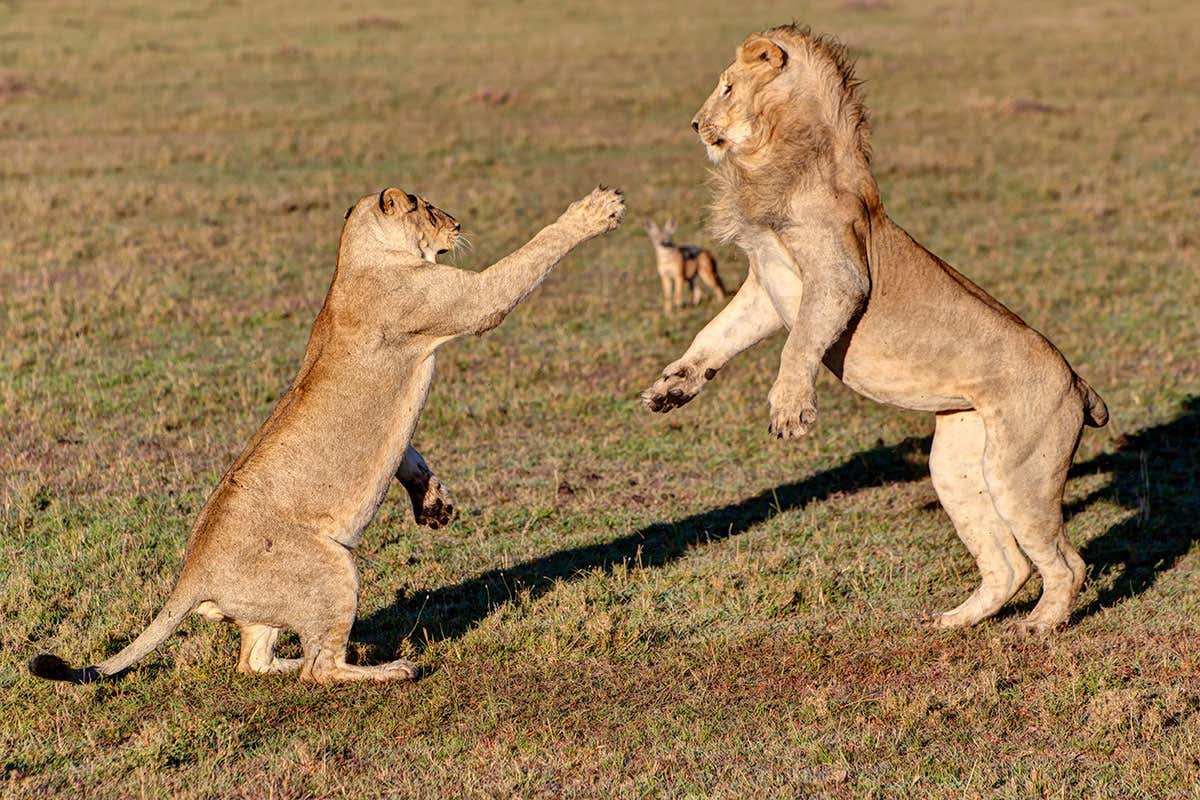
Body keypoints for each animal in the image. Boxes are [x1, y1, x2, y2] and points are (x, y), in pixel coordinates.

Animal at [30, 185, 625, 684]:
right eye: (427, 207)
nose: (458, 224)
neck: (358, 256)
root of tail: (191, 574)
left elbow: (410, 456)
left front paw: (434, 504)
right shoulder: (460, 303)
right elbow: (525, 260)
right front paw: (594, 211)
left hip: (271, 605)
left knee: (254, 660)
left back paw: (291, 660)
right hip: (331, 567)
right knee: (321, 669)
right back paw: (388, 670)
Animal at [641, 25, 1108, 634]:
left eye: (726, 87)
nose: (696, 125)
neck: (777, 154)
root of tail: (1077, 382)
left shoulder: (839, 278)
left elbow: (797, 347)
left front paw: (790, 410)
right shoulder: (765, 289)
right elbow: (715, 335)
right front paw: (672, 388)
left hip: (1021, 472)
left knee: (1067, 563)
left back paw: (1037, 627)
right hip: (958, 463)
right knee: (1009, 565)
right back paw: (951, 622)